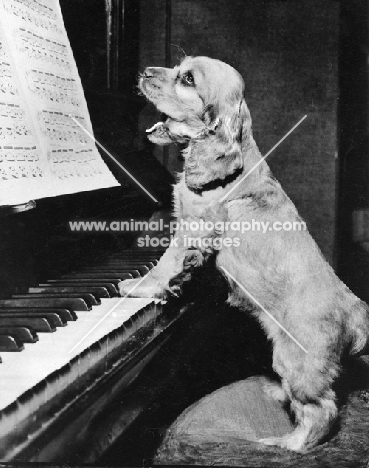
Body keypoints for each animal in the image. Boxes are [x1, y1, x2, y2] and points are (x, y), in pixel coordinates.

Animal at [118, 56, 368, 452]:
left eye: (188, 79)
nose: (144, 72)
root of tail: (357, 313)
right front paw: (180, 282)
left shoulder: (191, 228)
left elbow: (163, 263)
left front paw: (138, 286)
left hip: (298, 361)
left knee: (320, 412)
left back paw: (287, 443)